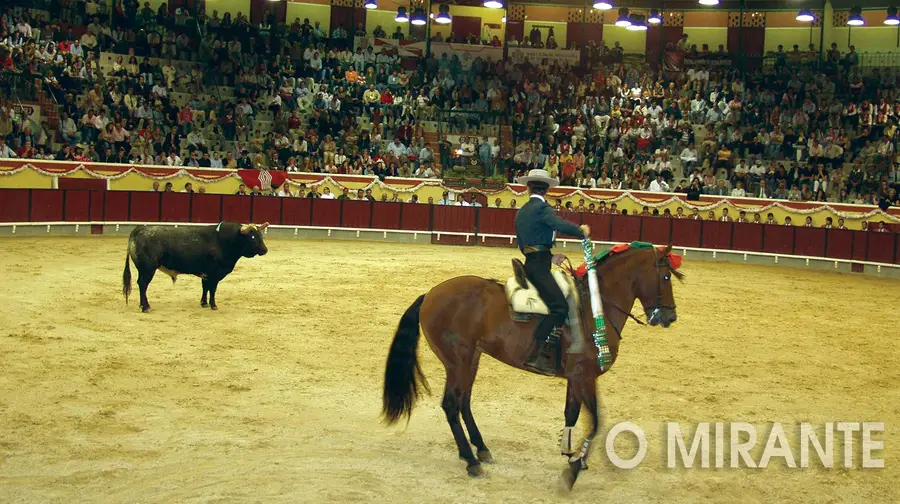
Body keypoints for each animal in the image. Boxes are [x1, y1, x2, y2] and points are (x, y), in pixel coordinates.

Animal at [124, 221, 270, 312]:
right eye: (252, 237)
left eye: (260, 235)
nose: (265, 250)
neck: (226, 241)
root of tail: (140, 229)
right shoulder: (215, 273)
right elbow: (213, 289)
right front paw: (214, 306)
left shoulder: (206, 274)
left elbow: (205, 288)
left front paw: (204, 303)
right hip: (148, 269)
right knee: (143, 284)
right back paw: (145, 307)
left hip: (143, 269)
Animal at [380, 242, 684, 490]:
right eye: (666, 276)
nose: (669, 317)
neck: (595, 308)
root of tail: (431, 294)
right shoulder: (585, 375)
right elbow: (596, 422)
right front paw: (573, 470)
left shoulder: (576, 377)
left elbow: (572, 413)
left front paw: (571, 454)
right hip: (458, 361)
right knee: (451, 404)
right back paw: (470, 460)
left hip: (472, 359)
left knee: (464, 401)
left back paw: (481, 449)